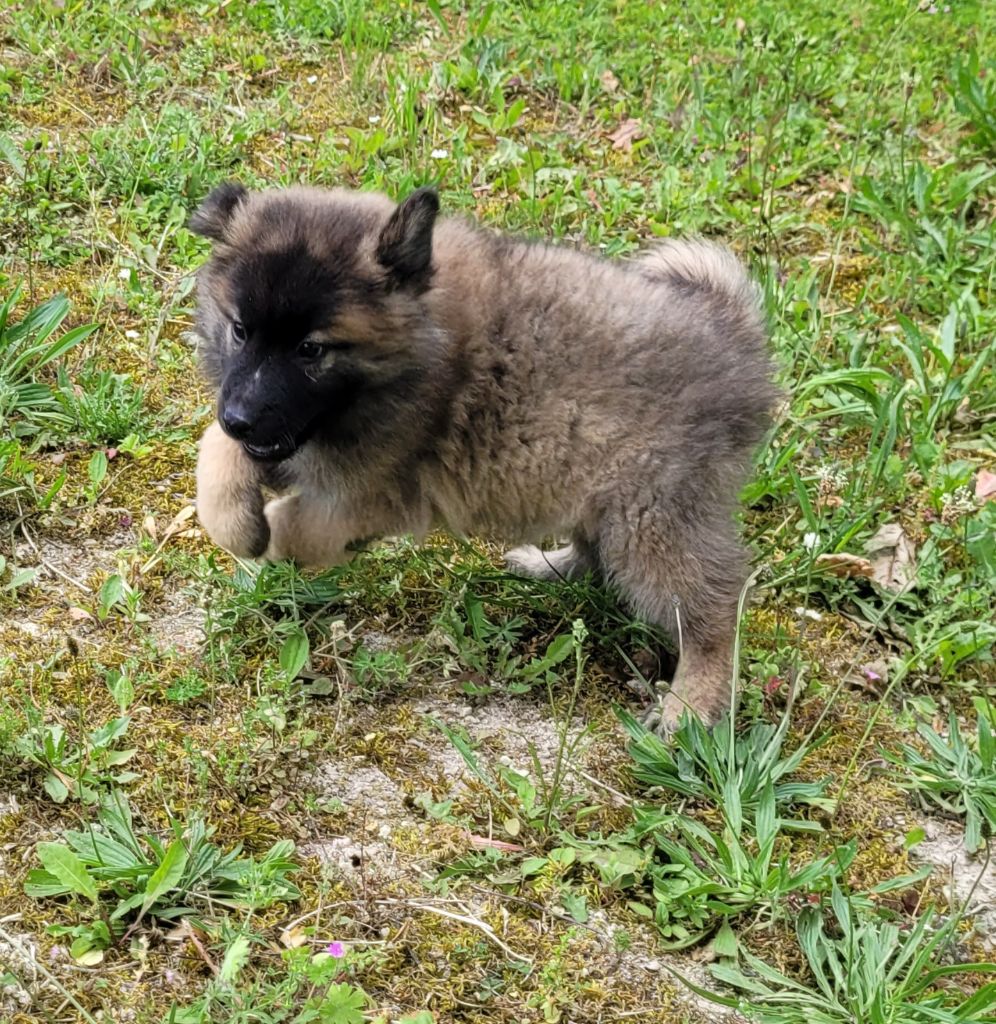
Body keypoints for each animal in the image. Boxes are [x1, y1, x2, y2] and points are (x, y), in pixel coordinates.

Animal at [190, 182, 776, 733]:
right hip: (589, 477)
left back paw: (691, 707)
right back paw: (550, 565)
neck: (419, 341)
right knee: (598, 551)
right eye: (239, 330)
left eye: (311, 349)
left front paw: (273, 539)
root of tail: (735, 332)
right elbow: (216, 454)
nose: (239, 417)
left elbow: (301, 525)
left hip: (650, 513)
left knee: (713, 610)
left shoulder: (373, 490)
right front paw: (237, 522)